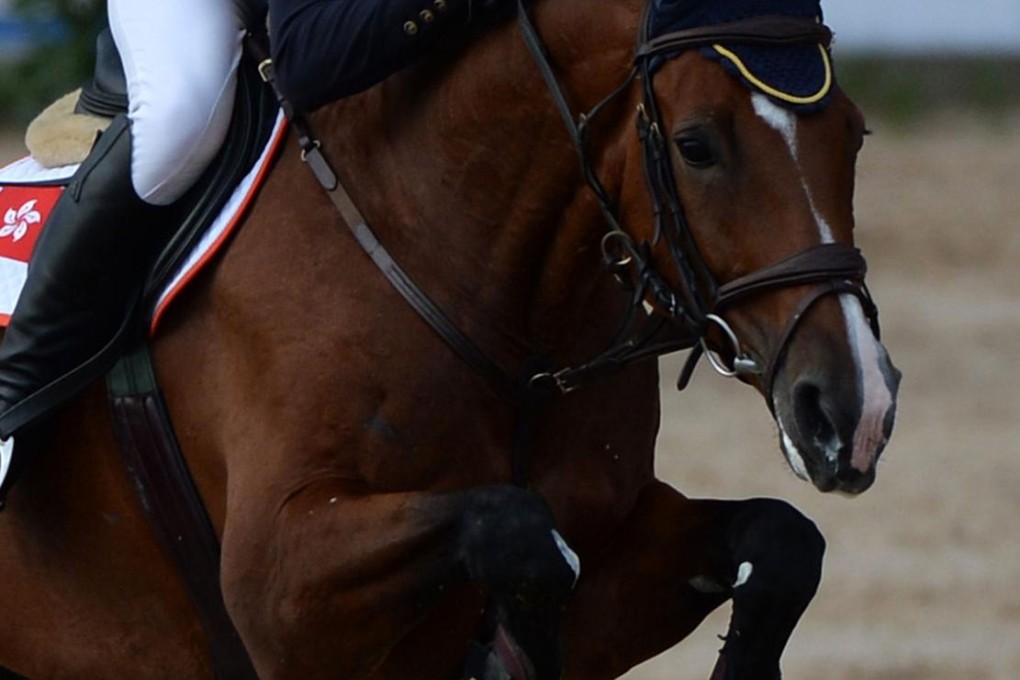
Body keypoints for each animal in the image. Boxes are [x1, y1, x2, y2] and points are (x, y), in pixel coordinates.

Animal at [0, 0, 897, 676]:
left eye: (855, 134)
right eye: (696, 144)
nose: (854, 411)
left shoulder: (619, 545)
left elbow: (782, 539)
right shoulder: (280, 588)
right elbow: (521, 533)